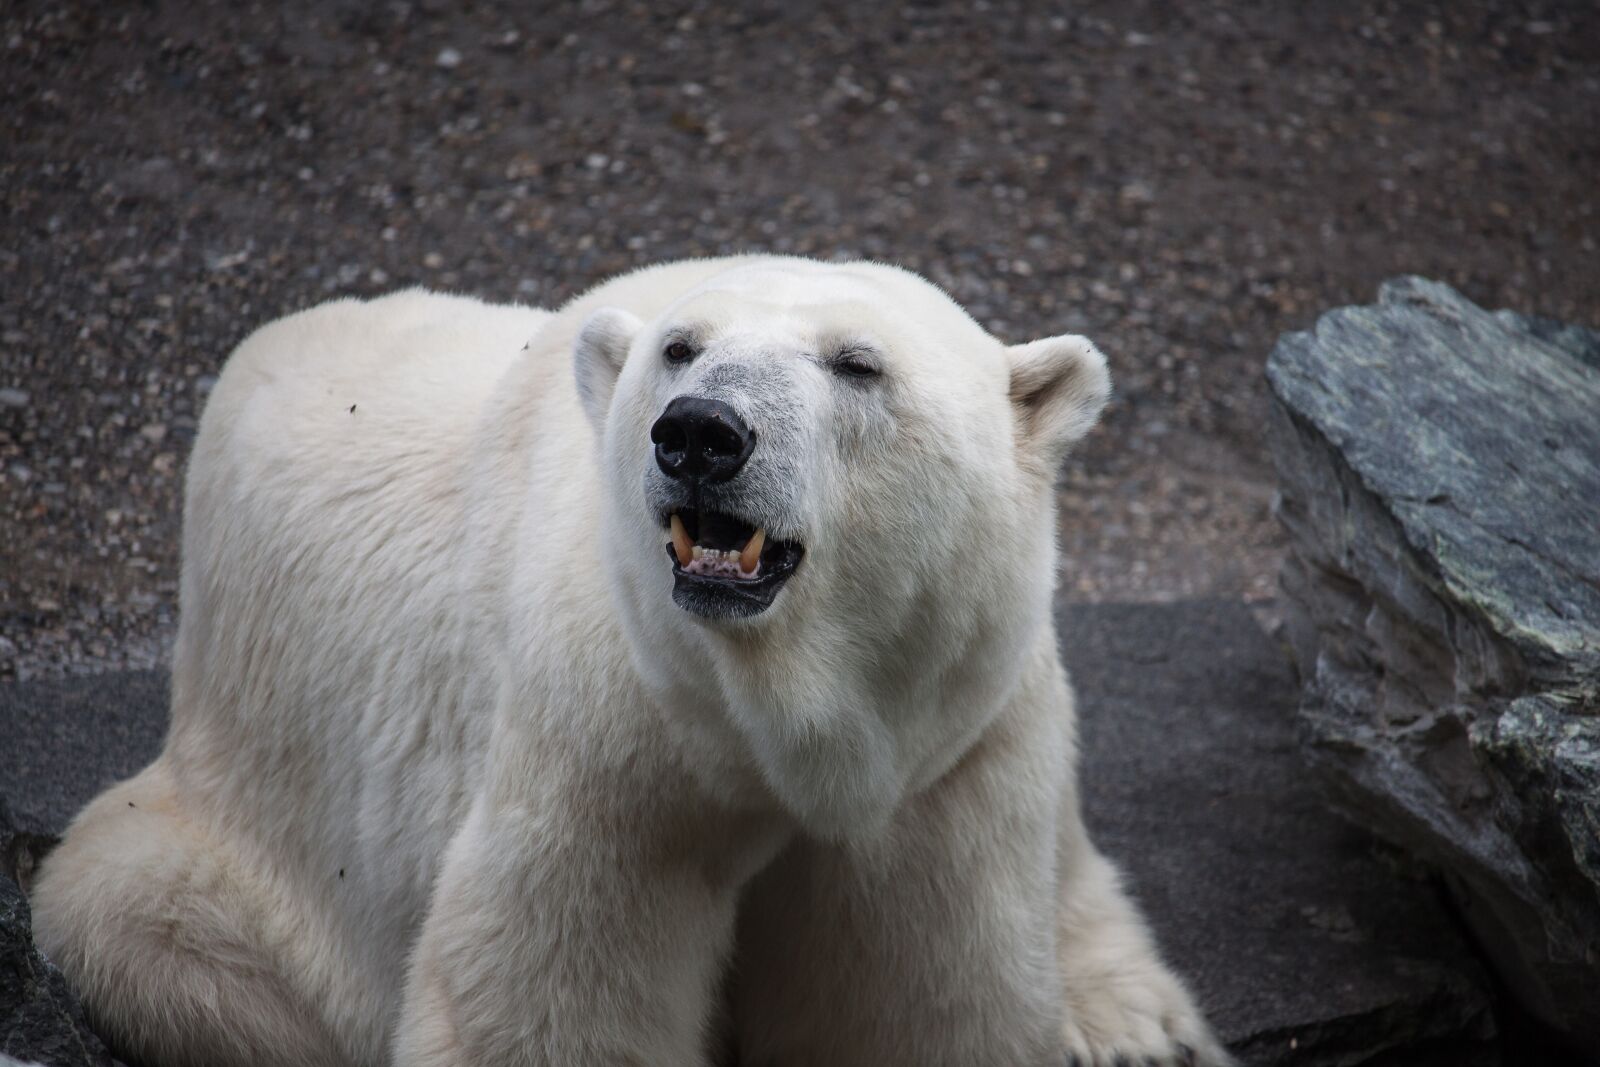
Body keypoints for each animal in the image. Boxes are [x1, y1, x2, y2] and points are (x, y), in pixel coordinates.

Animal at [32, 256, 1229, 1067]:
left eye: (857, 363)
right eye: (679, 348)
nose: (700, 432)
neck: (775, 725)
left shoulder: (942, 755)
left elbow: (918, 992)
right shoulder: (608, 742)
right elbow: (551, 996)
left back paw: (1136, 1021)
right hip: (234, 820)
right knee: (160, 934)